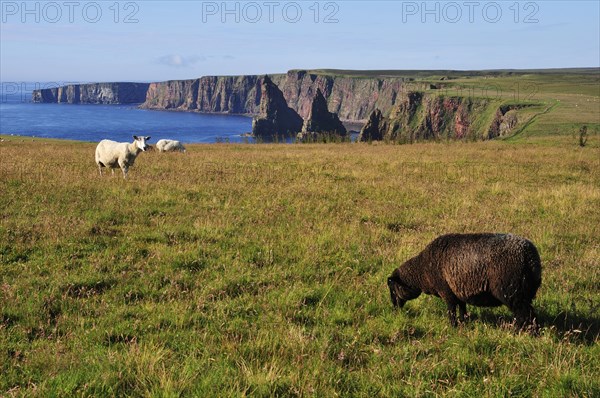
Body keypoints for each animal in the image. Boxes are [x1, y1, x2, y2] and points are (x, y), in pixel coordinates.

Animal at [390, 232, 544, 328]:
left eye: (392, 288)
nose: (394, 308)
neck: (422, 270)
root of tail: (531, 258)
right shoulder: (458, 291)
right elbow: (462, 309)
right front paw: (463, 323)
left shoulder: (446, 291)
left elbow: (451, 311)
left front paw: (453, 326)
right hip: (524, 293)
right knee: (530, 315)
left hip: (513, 292)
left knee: (524, 315)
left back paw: (518, 331)